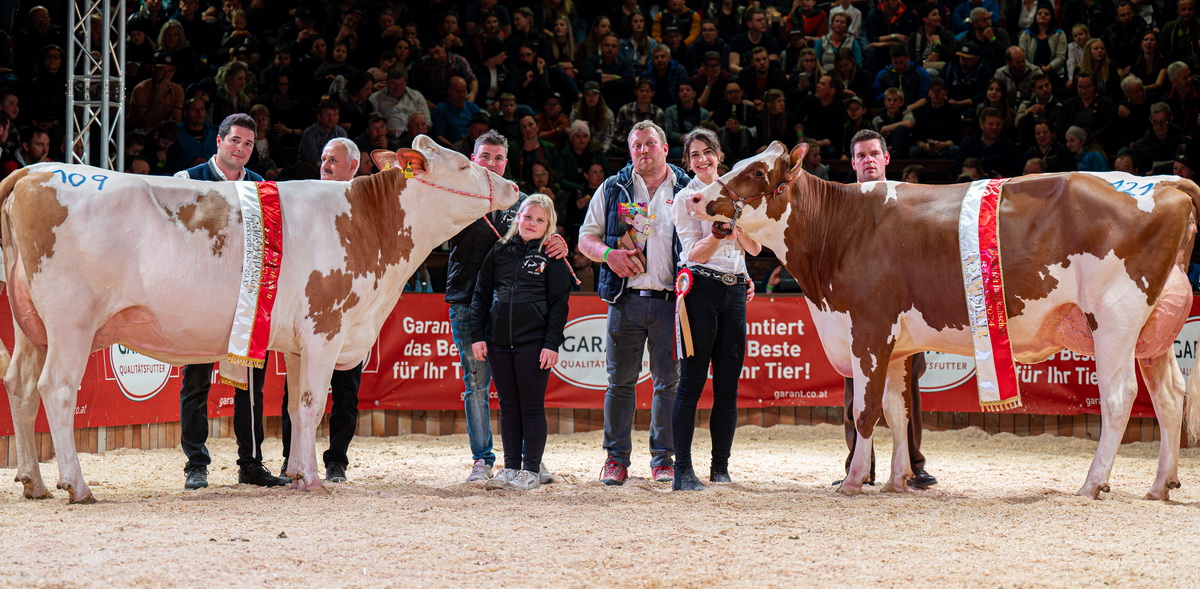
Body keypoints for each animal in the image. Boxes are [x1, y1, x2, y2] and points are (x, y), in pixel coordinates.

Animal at [0, 137, 516, 501]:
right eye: (465, 164)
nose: (511, 185)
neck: (365, 225)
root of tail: (33, 171)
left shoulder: (299, 339)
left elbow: (295, 407)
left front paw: (295, 473)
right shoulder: (326, 326)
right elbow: (313, 402)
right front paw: (312, 478)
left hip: (30, 327)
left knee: (20, 388)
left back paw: (33, 482)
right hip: (71, 321)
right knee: (56, 389)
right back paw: (76, 486)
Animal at [691, 140, 1200, 501]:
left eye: (758, 172)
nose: (697, 196)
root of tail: (1166, 183)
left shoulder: (869, 328)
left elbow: (865, 410)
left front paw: (854, 482)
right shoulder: (895, 342)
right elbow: (897, 410)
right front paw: (896, 480)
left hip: (1114, 318)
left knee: (1119, 398)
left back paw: (1092, 484)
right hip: (1152, 333)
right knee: (1169, 396)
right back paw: (1161, 485)